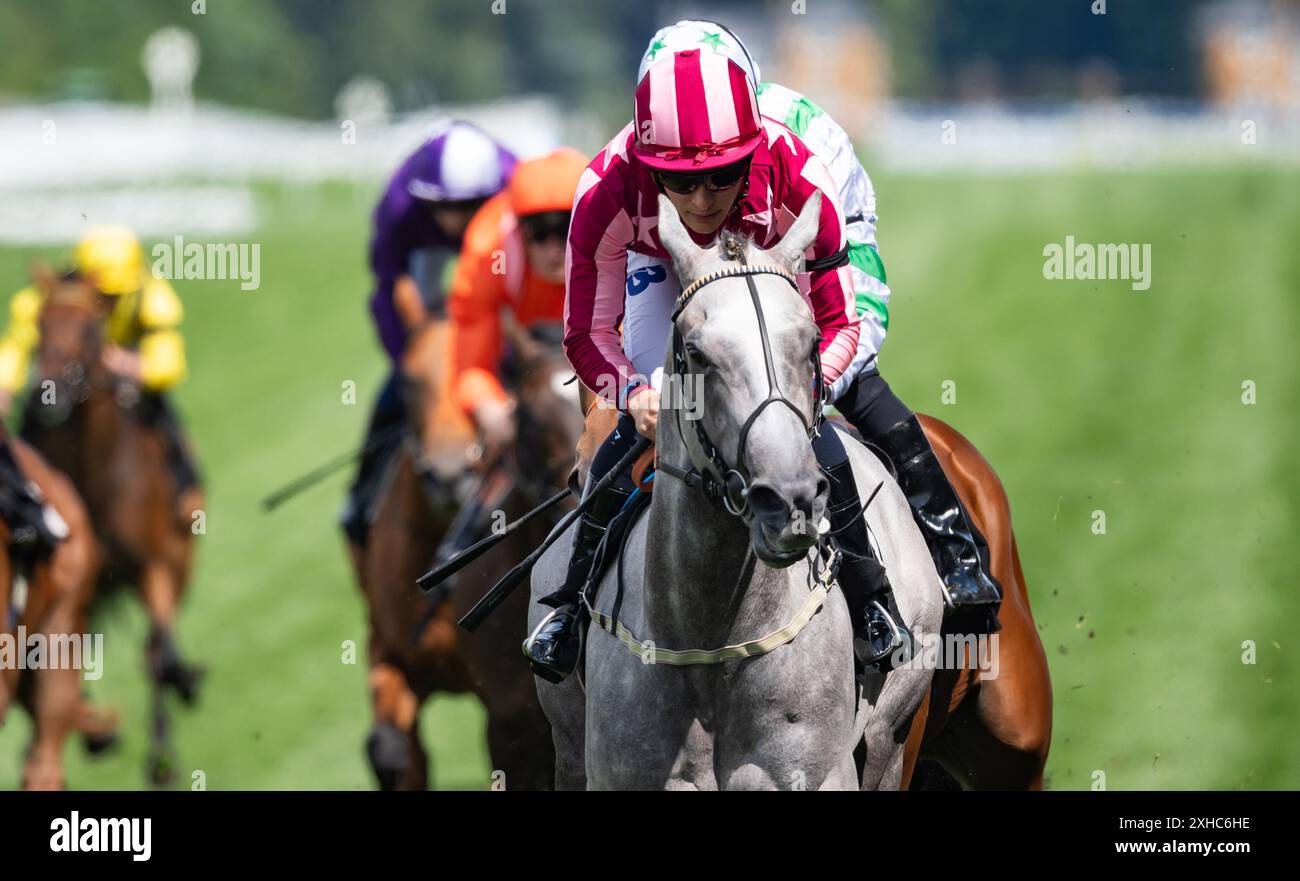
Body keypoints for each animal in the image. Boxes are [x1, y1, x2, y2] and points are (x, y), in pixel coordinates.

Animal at [20, 268, 204, 784]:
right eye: (39, 326)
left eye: (89, 330)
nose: (47, 394)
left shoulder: (153, 564)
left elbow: (160, 655)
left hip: (180, 556)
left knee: (155, 651)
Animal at [530, 193, 946, 795]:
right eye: (697, 353)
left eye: (811, 342)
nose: (789, 500)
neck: (711, 639)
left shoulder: (815, 772)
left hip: (891, 734)